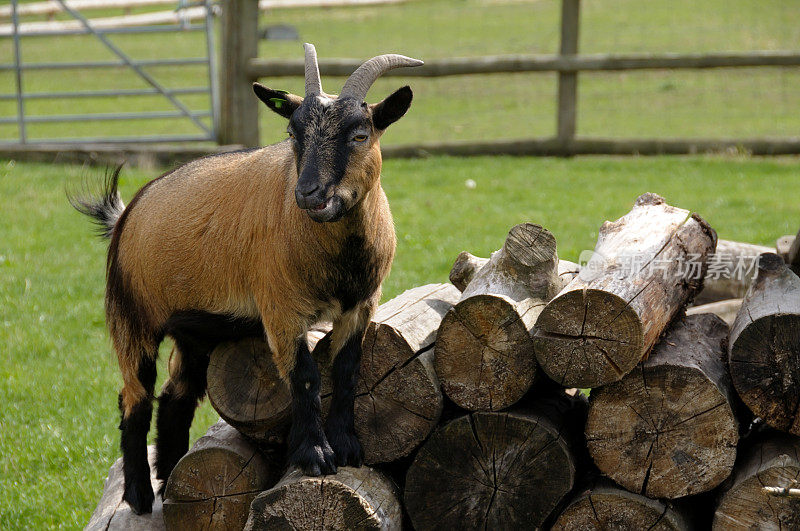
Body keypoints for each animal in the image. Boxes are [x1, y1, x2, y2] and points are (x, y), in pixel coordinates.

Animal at [71, 43, 422, 516]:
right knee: (134, 401)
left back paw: (170, 479)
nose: (308, 193)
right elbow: (306, 377)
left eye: (359, 134)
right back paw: (141, 496)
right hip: (130, 318)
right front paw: (316, 457)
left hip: (194, 332)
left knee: (175, 396)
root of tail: (127, 213)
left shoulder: (361, 304)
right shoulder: (280, 308)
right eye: (293, 133)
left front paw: (348, 448)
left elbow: (347, 370)